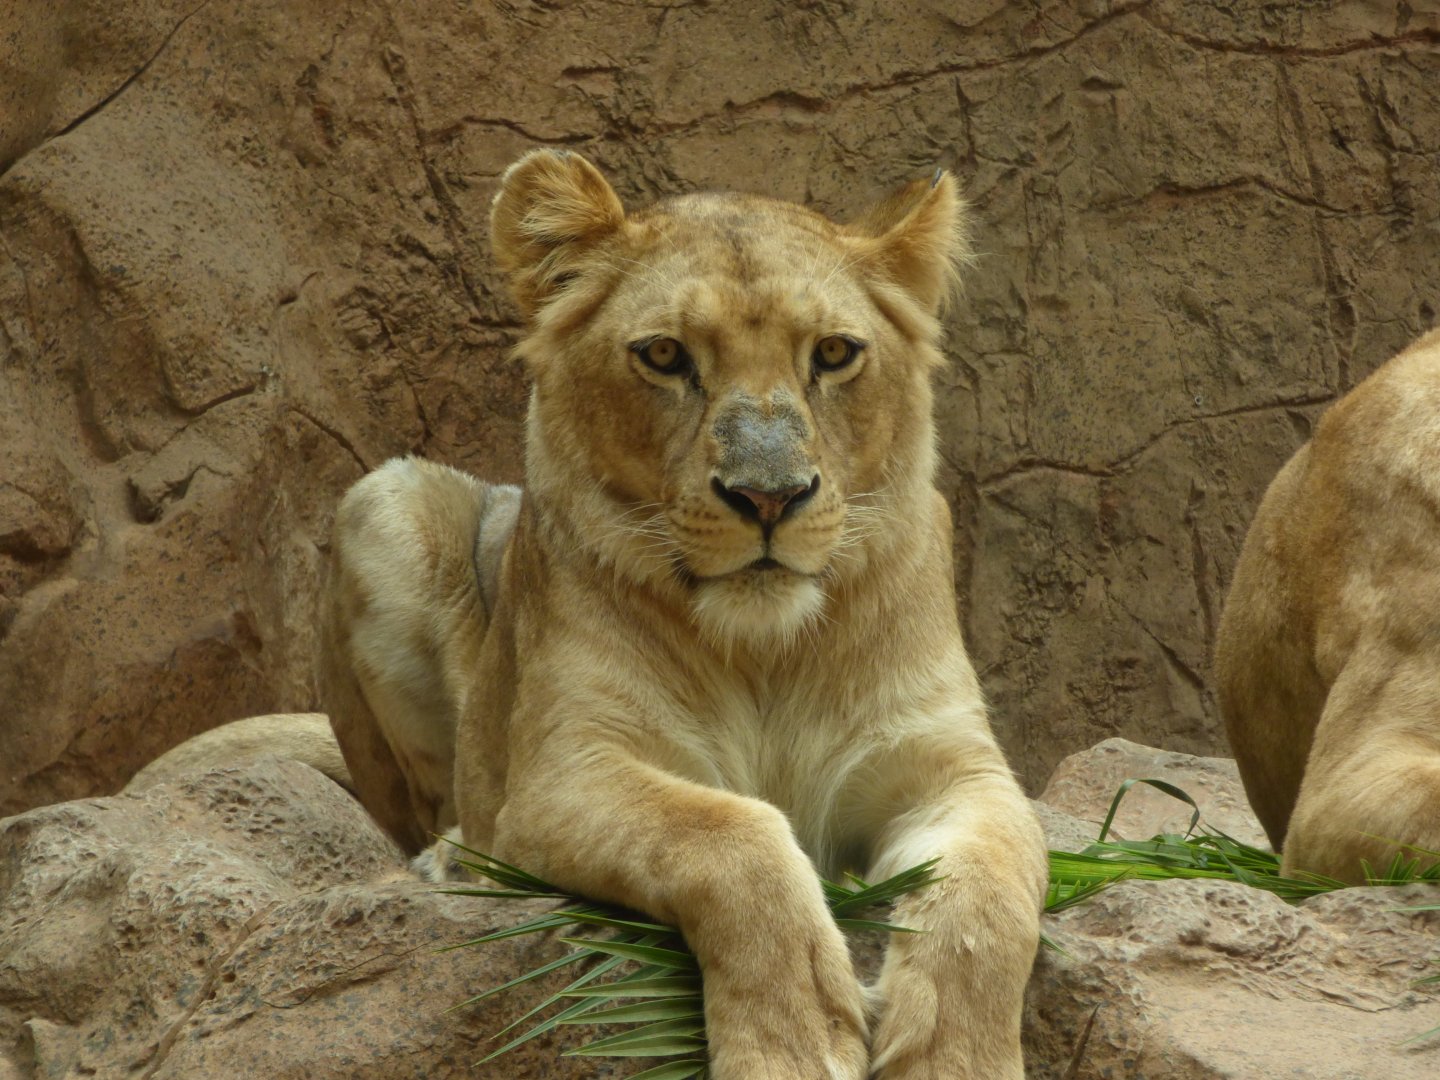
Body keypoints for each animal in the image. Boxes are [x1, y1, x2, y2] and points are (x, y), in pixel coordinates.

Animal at [320, 149, 1047, 1079]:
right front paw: (793, 1043)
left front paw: (958, 1058)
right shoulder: (565, 773)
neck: (766, 651)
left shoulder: (957, 768)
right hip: (384, 501)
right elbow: (732, 833)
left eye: (835, 352)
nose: (769, 497)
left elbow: (986, 904)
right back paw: (453, 859)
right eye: (665, 354)